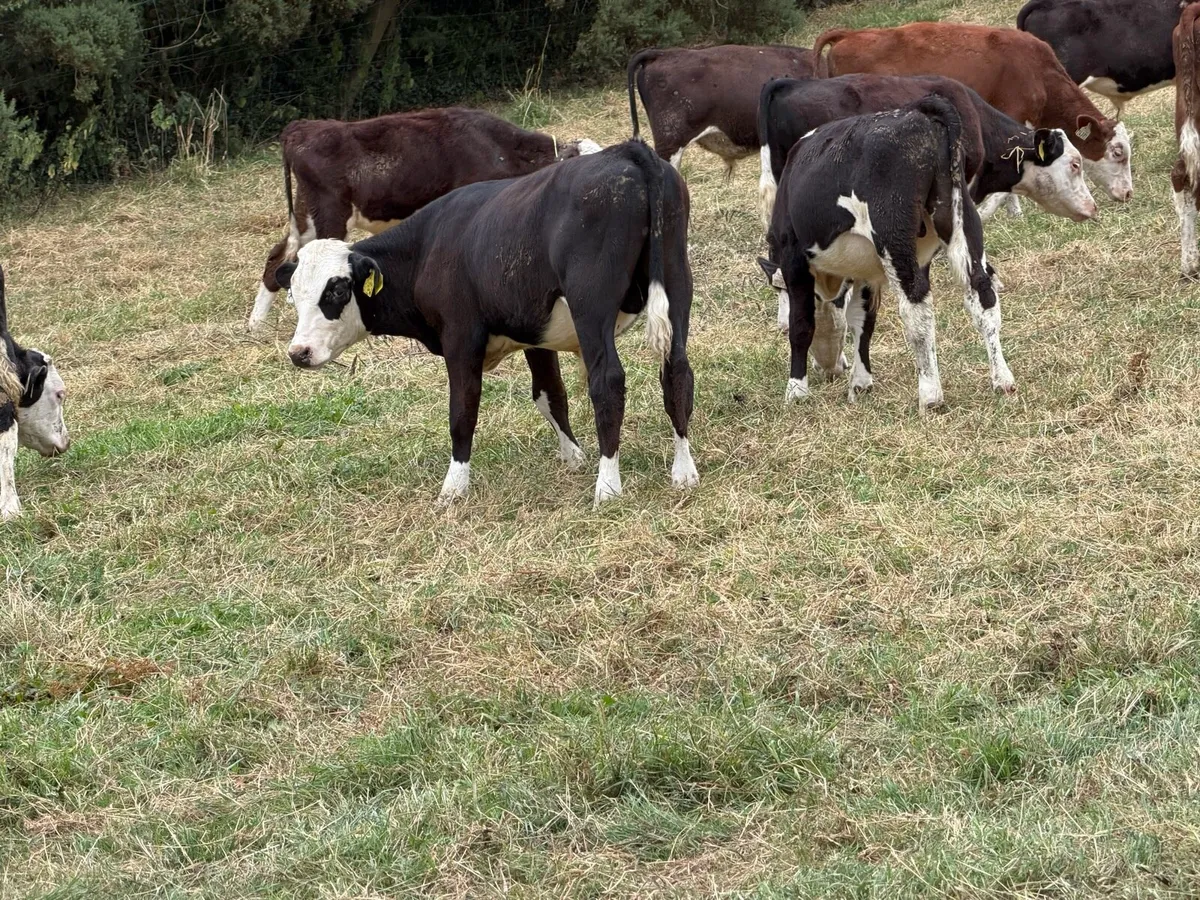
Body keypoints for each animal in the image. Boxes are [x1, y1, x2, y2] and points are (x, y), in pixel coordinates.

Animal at [250, 107, 601, 330]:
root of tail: (303, 127)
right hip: (330, 216)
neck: (499, 148)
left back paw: (256, 324)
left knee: (279, 256)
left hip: (306, 217)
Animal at [273, 140, 697, 509]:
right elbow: (550, 395)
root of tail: (627, 150)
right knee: (676, 371)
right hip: (677, 281)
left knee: (607, 382)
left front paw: (453, 487)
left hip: (591, 304)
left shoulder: (461, 339)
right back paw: (683, 470)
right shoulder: (535, 336)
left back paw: (608, 486)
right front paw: (573, 456)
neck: (427, 247)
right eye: (294, 294)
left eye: (337, 290)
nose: (298, 352)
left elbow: (463, 411)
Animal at [760, 95, 1011, 413]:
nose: (829, 368)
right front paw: (860, 381)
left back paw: (930, 395)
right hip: (961, 223)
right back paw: (1002, 379)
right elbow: (862, 322)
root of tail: (919, 114)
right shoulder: (866, 272)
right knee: (982, 294)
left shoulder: (794, 259)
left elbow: (802, 324)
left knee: (916, 307)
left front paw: (796, 390)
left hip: (894, 238)